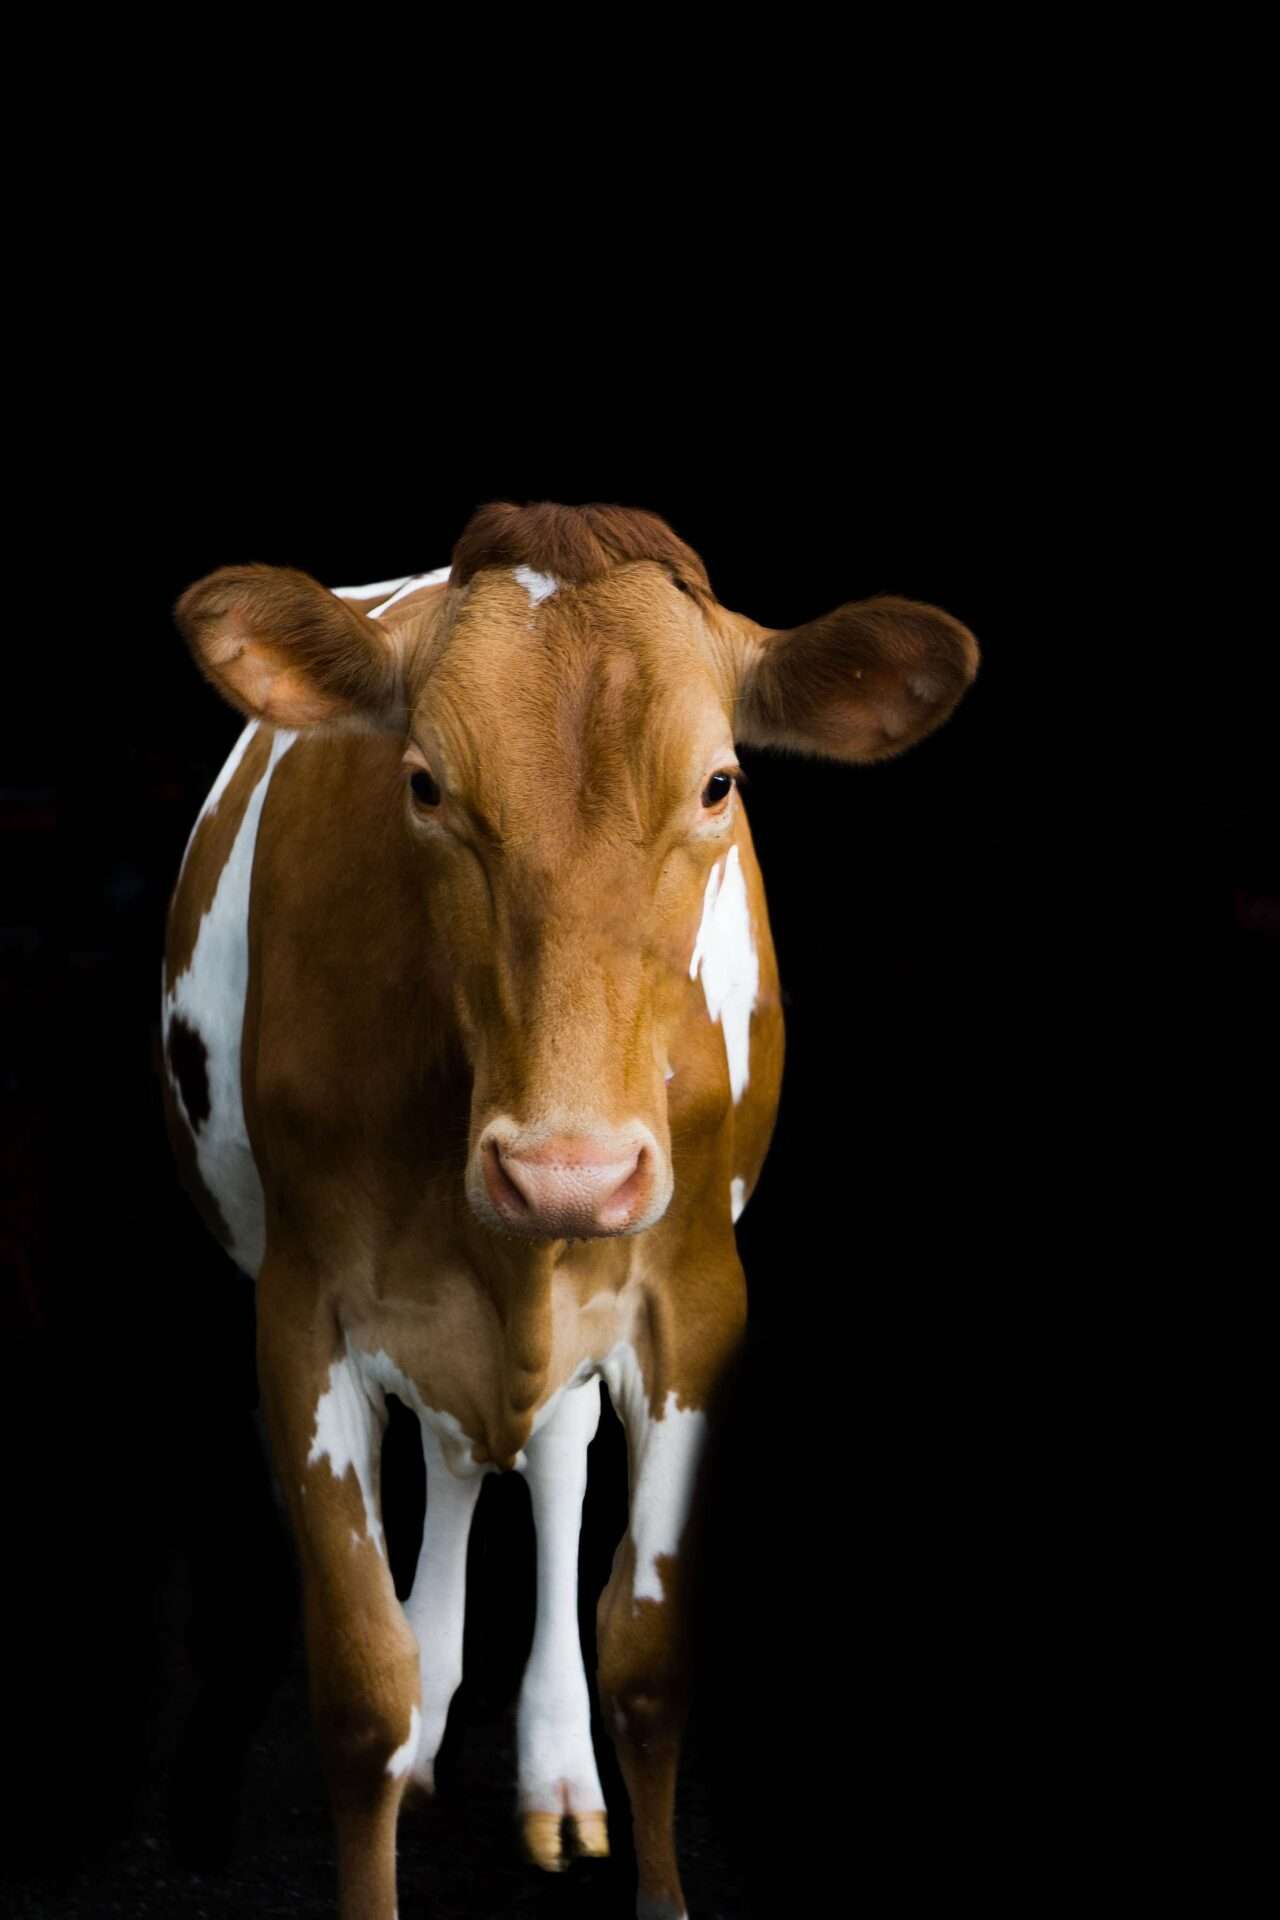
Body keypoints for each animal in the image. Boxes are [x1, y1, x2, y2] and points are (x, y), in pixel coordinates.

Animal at [161, 502, 980, 1920]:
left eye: (717, 785)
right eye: (424, 785)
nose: (568, 1174)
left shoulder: (696, 1302)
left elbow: (646, 1657)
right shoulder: (303, 1311)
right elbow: (363, 1695)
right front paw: (402, 1725)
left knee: (544, 1459)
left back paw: (551, 1768)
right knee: (449, 1464)